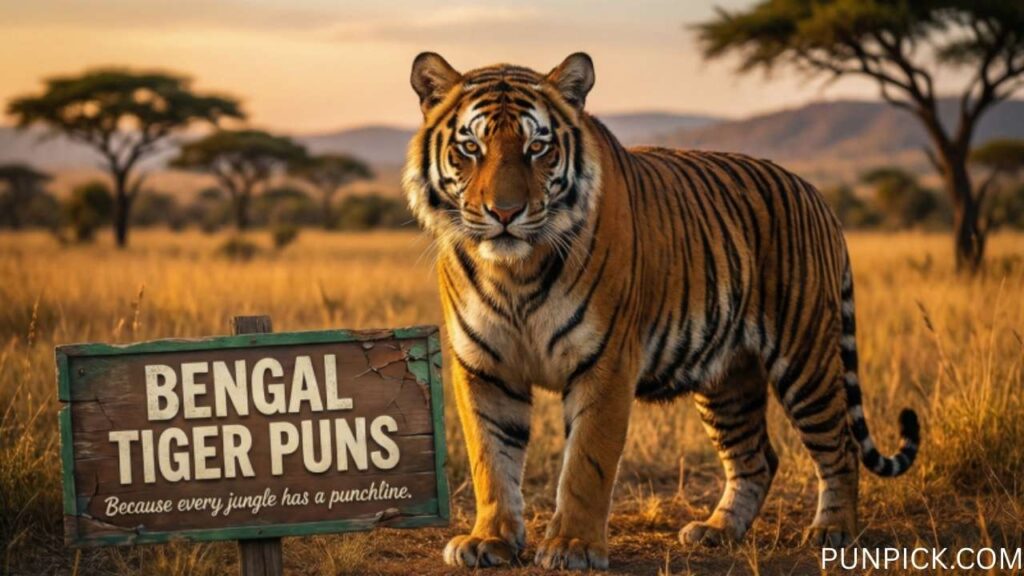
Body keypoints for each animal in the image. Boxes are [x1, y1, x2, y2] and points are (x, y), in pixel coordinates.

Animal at [402, 52, 921, 571]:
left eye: (537, 148)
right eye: (471, 147)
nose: (505, 213)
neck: (515, 273)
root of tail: (816, 194)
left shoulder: (606, 361)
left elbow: (585, 463)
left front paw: (573, 546)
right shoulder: (484, 366)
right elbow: (491, 458)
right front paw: (489, 540)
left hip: (805, 357)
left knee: (840, 447)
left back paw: (834, 531)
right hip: (728, 378)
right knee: (756, 459)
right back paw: (716, 530)